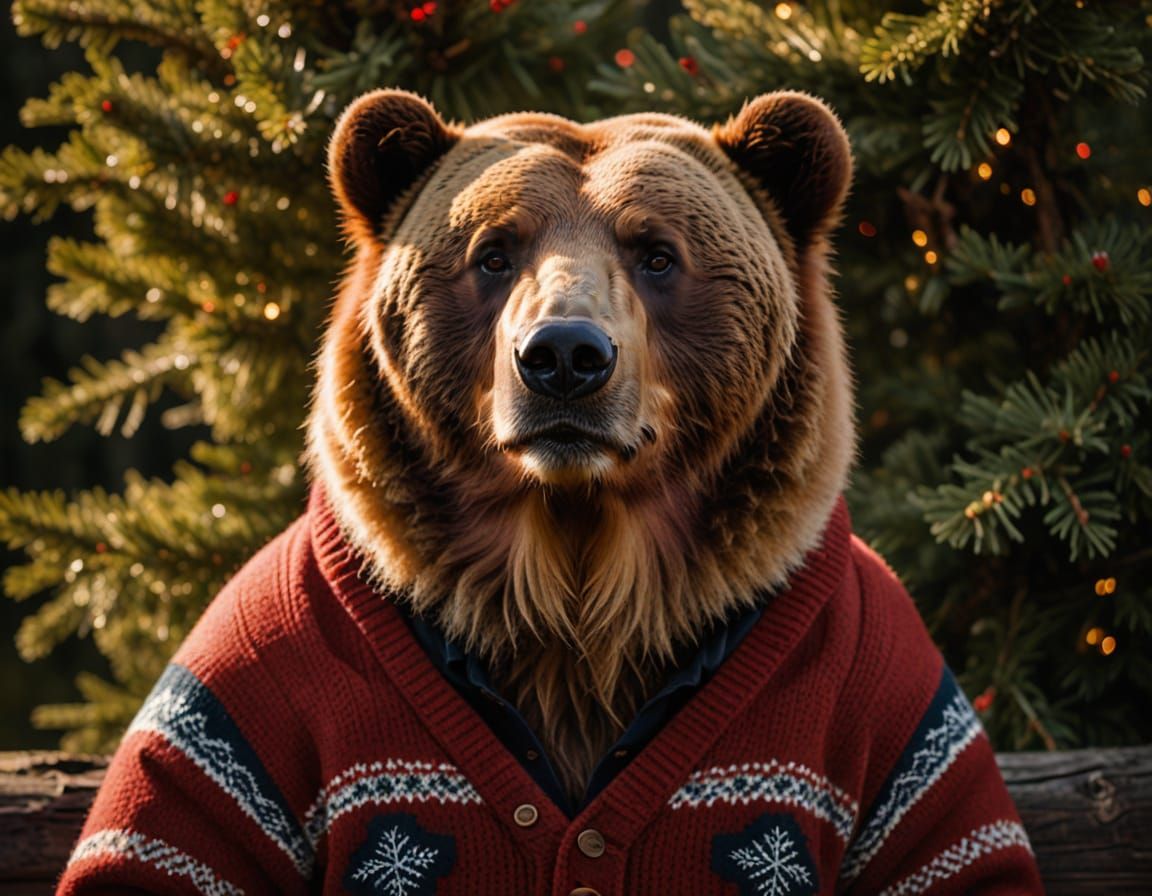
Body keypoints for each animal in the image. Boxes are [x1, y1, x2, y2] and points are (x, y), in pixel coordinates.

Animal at [58, 91, 1042, 895]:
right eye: (493, 253)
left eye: (657, 253)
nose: (564, 356)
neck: (578, 575)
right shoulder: (258, 678)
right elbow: (180, 839)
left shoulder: (882, 687)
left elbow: (948, 847)